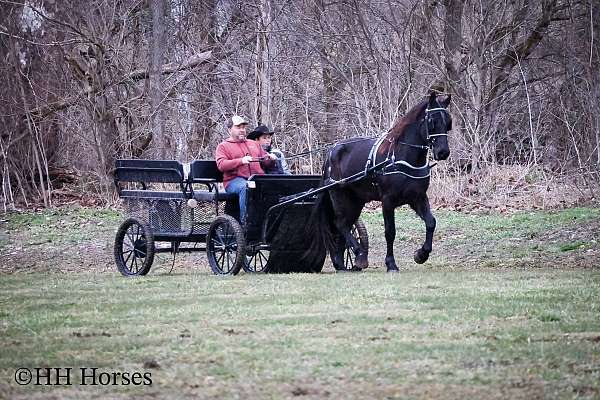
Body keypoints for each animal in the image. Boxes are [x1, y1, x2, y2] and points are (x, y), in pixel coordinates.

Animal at [310, 92, 450, 272]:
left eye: (448, 122)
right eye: (432, 121)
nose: (443, 152)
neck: (400, 157)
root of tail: (331, 151)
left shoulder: (417, 197)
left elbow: (431, 222)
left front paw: (421, 254)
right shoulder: (387, 200)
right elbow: (390, 232)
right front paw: (391, 263)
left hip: (356, 201)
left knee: (343, 227)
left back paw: (341, 264)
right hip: (339, 196)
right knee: (340, 224)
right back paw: (359, 254)